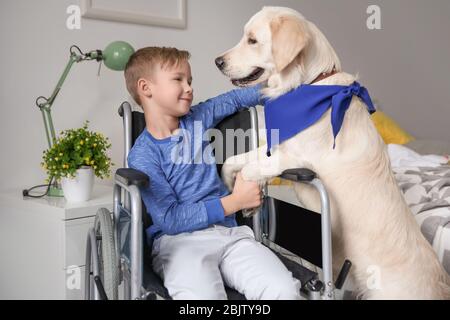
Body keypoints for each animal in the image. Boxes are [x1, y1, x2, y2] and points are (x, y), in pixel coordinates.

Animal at [215, 5, 450, 300]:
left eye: (252, 40)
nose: (217, 61)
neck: (307, 84)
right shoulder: (274, 150)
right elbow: (233, 161)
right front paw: (232, 189)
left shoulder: (292, 158)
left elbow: (249, 170)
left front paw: (249, 198)